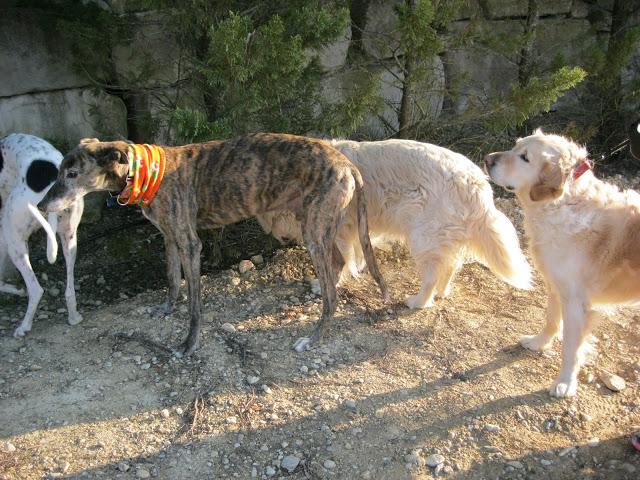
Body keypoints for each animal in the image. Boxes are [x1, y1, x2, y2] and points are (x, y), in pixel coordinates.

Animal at [255, 139, 528, 310]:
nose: (279, 238)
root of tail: (476, 183)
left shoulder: (337, 235)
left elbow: (339, 264)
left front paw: (326, 284)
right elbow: (356, 255)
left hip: (423, 237)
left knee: (431, 275)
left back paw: (419, 301)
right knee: (450, 266)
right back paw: (442, 291)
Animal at [484, 130, 640, 398]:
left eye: (525, 158)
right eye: (515, 146)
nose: (487, 159)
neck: (563, 204)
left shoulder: (577, 303)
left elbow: (571, 348)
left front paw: (565, 382)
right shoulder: (556, 286)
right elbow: (551, 320)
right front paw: (538, 343)